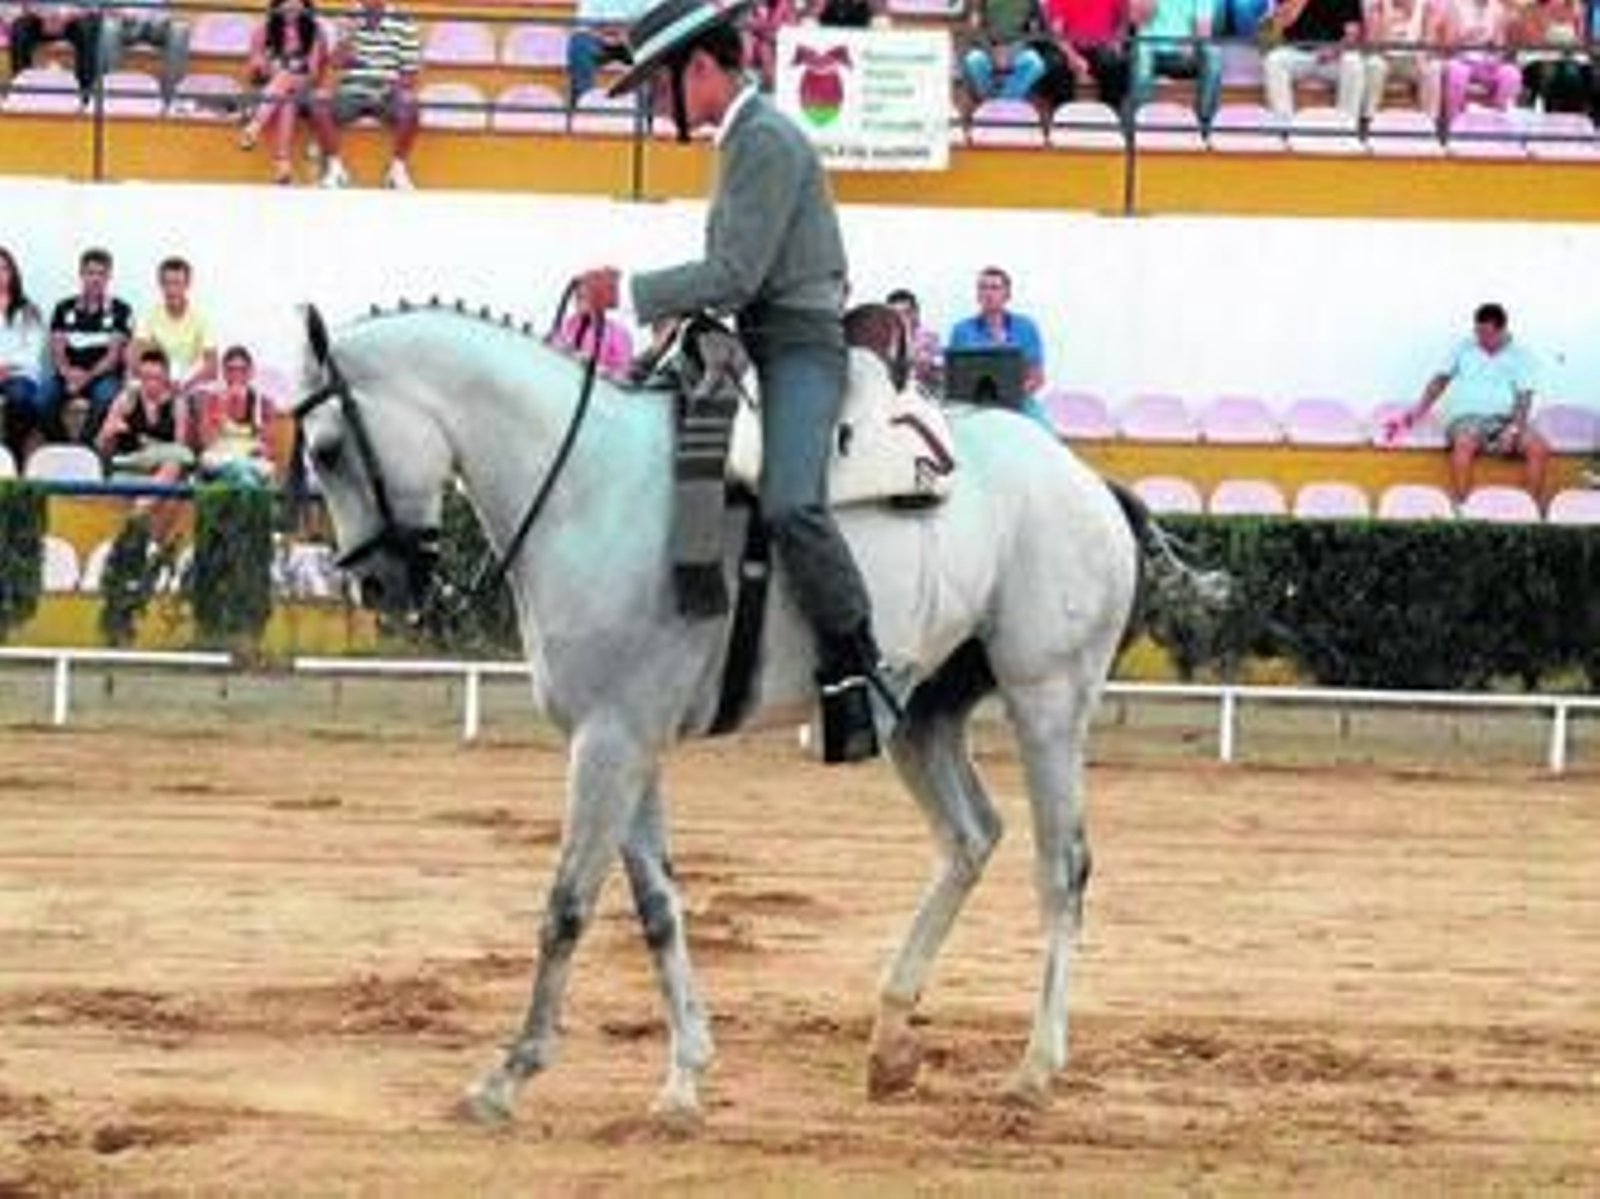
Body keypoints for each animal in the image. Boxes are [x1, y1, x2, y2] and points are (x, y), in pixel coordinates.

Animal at [294, 301, 1158, 1126]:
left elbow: (568, 905)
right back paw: (889, 1041)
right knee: (971, 837)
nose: (377, 583)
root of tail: (1085, 479)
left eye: (326, 449)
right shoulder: (628, 741)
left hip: (1047, 699)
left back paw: (1034, 1069)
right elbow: (656, 907)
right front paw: (684, 1078)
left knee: (1060, 867)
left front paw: (507, 1076)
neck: (586, 488)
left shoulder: (609, 742)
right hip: (920, 715)